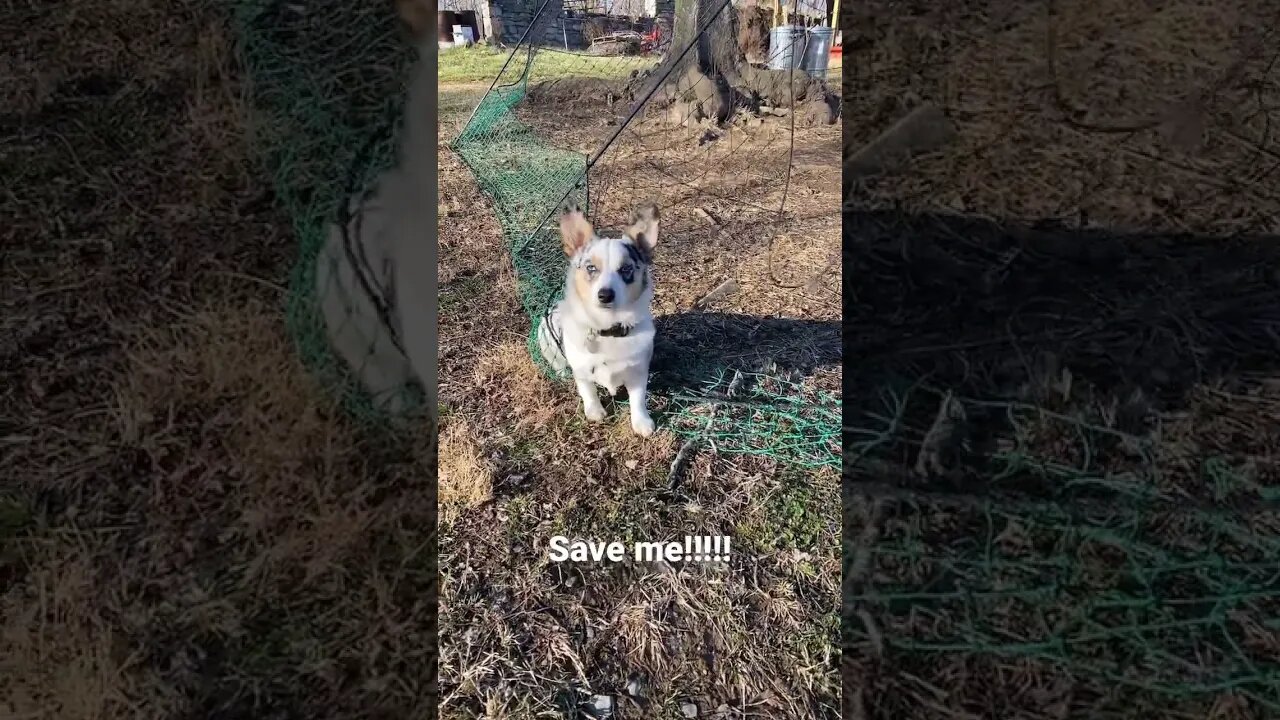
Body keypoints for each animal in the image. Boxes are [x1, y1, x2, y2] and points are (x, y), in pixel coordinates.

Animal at [537, 202, 660, 438]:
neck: (608, 329)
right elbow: (588, 391)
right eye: (591, 268)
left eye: (626, 269)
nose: (605, 295)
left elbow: (638, 399)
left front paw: (642, 422)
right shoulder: (582, 371)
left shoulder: (638, 372)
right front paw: (595, 412)